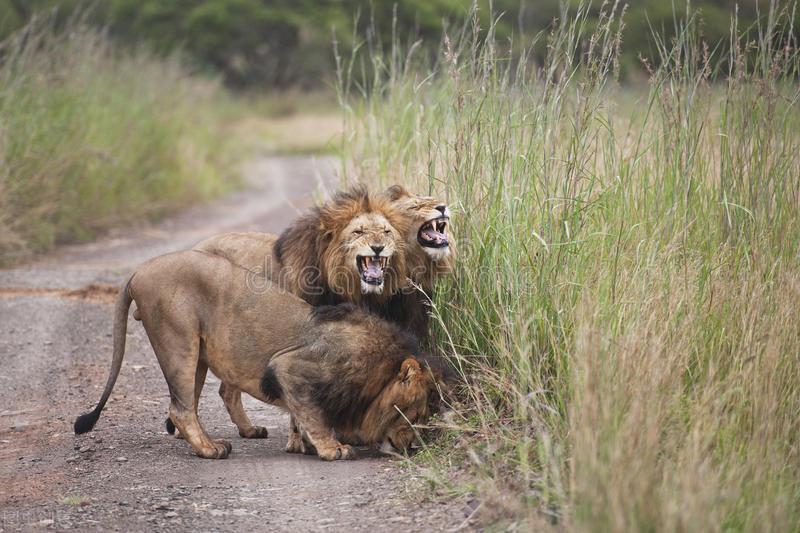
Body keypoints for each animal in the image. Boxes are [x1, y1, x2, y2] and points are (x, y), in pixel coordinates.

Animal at [72, 249, 440, 458]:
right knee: (180, 409)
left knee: (195, 402)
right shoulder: (291, 366)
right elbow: (313, 414)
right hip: (178, 340)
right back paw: (210, 449)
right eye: (415, 414)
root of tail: (138, 271)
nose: (414, 448)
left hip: (198, 354)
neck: (377, 373)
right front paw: (331, 449)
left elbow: (301, 414)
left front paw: (304, 445)